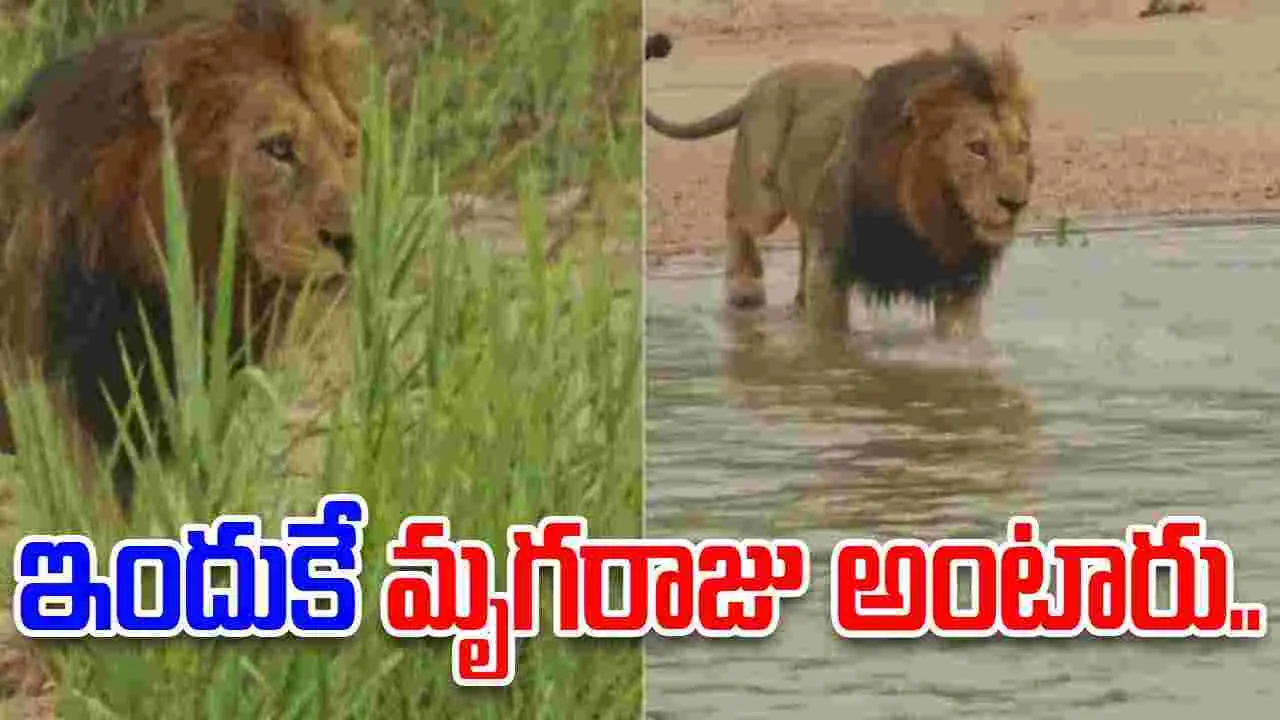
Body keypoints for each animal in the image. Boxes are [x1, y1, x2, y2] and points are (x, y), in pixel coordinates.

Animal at [647, 35, 1034, 338]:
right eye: (977, 148)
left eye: (1021, 147)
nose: (1015, 203)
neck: (933, 217)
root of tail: (766, 80)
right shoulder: (831, 264)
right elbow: (829, 338)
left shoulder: (959, 287)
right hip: (762, 193)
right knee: (737, 217)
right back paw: (745, 289)